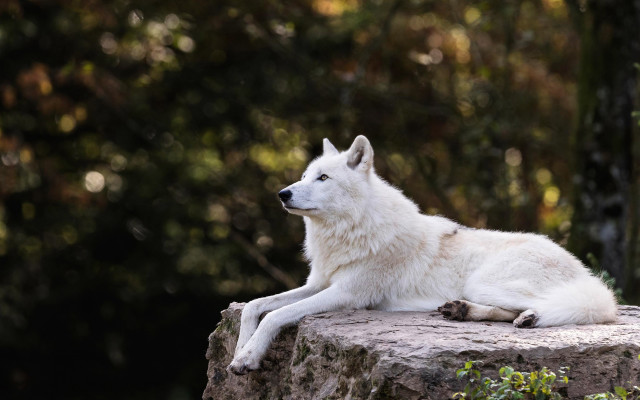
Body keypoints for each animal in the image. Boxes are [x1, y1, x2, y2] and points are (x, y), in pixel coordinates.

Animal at [227, 135, 617, 375]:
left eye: (323, 178)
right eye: (305, 175)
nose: (282, 194)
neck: (351, 231)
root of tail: (584, 272)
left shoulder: (347, 293)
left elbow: (276, 315)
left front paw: (249, 356)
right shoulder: (318, 284)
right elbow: (255, 306)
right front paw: (240, 351)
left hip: (486, 281)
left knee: (574, 308)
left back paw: (529, 317)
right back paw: (466, 312)